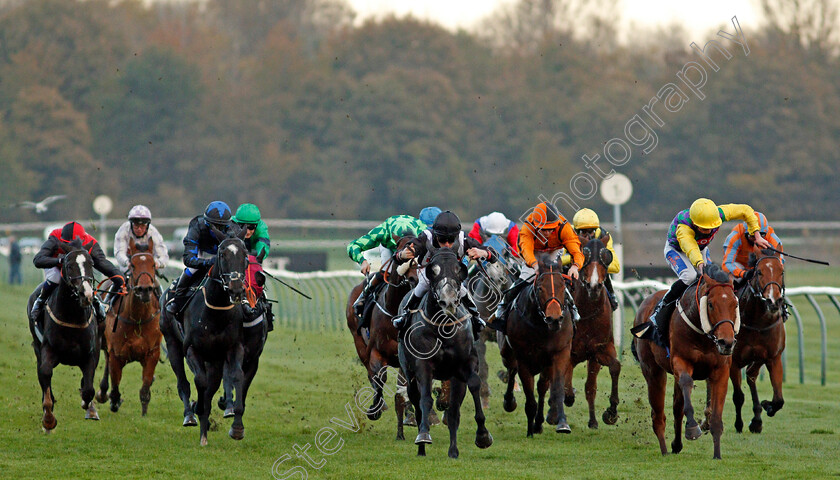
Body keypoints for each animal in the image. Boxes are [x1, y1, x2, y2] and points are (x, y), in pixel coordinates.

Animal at [28, 242, 101, 430]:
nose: (86, 295)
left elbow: (89, 389)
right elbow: (45, 373)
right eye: (68, 266)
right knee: (41, 374)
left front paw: (88, 406)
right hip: (37, 347)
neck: (72, 317)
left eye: (91, 264)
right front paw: (48, 418)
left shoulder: (91, 353)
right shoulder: (48, 349)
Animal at [97, 238, 162, 414]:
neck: (137, 319)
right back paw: (102, 393)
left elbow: (145, 388)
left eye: (153, 265)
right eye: (132, 265)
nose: (145, 289)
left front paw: (144, 413)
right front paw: (113, 400)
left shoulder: (152, 353)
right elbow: (115, 386)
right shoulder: (116, 353)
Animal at [400, 248, 492, 458]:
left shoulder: (465, 365)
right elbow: (425, 398)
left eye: (459, 269)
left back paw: (453, 451)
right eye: (433, 270)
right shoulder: (423, 365)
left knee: (453, 411)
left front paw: (483, 435)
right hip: (408, 371)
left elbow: (473, 385)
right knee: (416, 399)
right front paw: (424, 435)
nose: (448, 301)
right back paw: (421, 447)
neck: (444, 327)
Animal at [498, 253, 576, 436]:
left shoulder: (558, 353)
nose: (554, 319)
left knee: (541, 386)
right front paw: (529, 431)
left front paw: (560, 423)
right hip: (507, 352)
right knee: (511, 370)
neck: (541, 326)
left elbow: (552, 387)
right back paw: (509, 402)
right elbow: (529, 395)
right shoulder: (523, 359)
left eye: (563, 287)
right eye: (540, 288)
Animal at [632, 264, 740, 460]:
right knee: (658, 415)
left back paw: (675, 445)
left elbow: (715, 417)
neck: (704, 336)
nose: (726, 342)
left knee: (676, 407)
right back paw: (664, 450)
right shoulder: (681, 361)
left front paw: (717, 455)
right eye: (710, 304)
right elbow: (687, 382)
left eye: (735, 304)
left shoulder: (720, 370)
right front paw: (692, 428)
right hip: (653, 371)